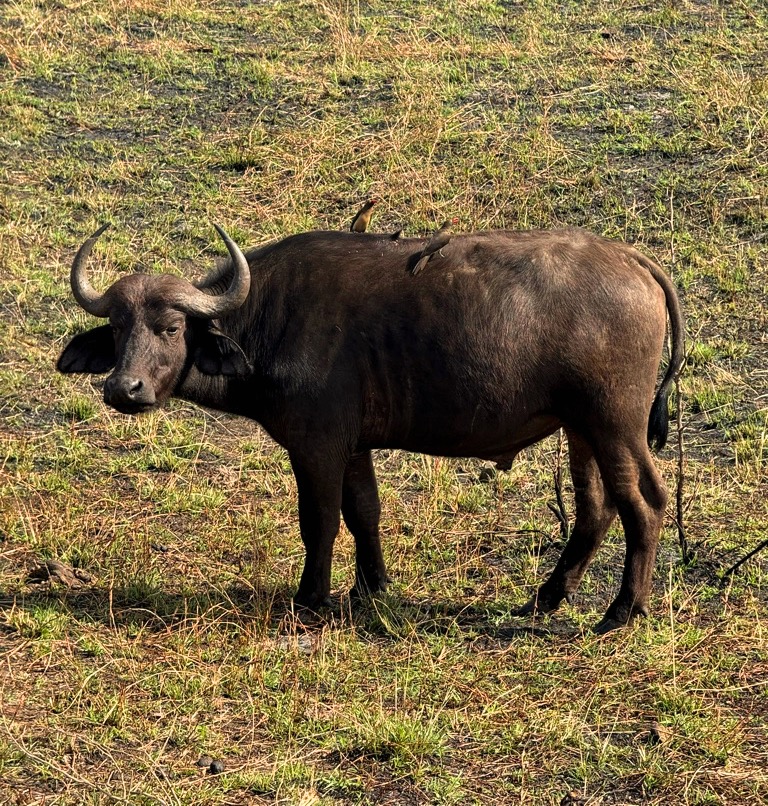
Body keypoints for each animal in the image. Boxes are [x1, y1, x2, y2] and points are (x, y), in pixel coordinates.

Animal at [58, 224, 684, 636]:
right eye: (118, 328)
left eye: (169, 327)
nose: (124, 389)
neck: (271, 317)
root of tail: (631, 260)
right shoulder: (355, 446)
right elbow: (364, 512)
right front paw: (370, 587)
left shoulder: (316, 444)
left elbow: (320, 521)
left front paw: (312, 596)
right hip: (581, 429)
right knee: (596, 509)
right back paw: (547, 597)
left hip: (615, 424)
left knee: (645, 503)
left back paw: (622, 611)